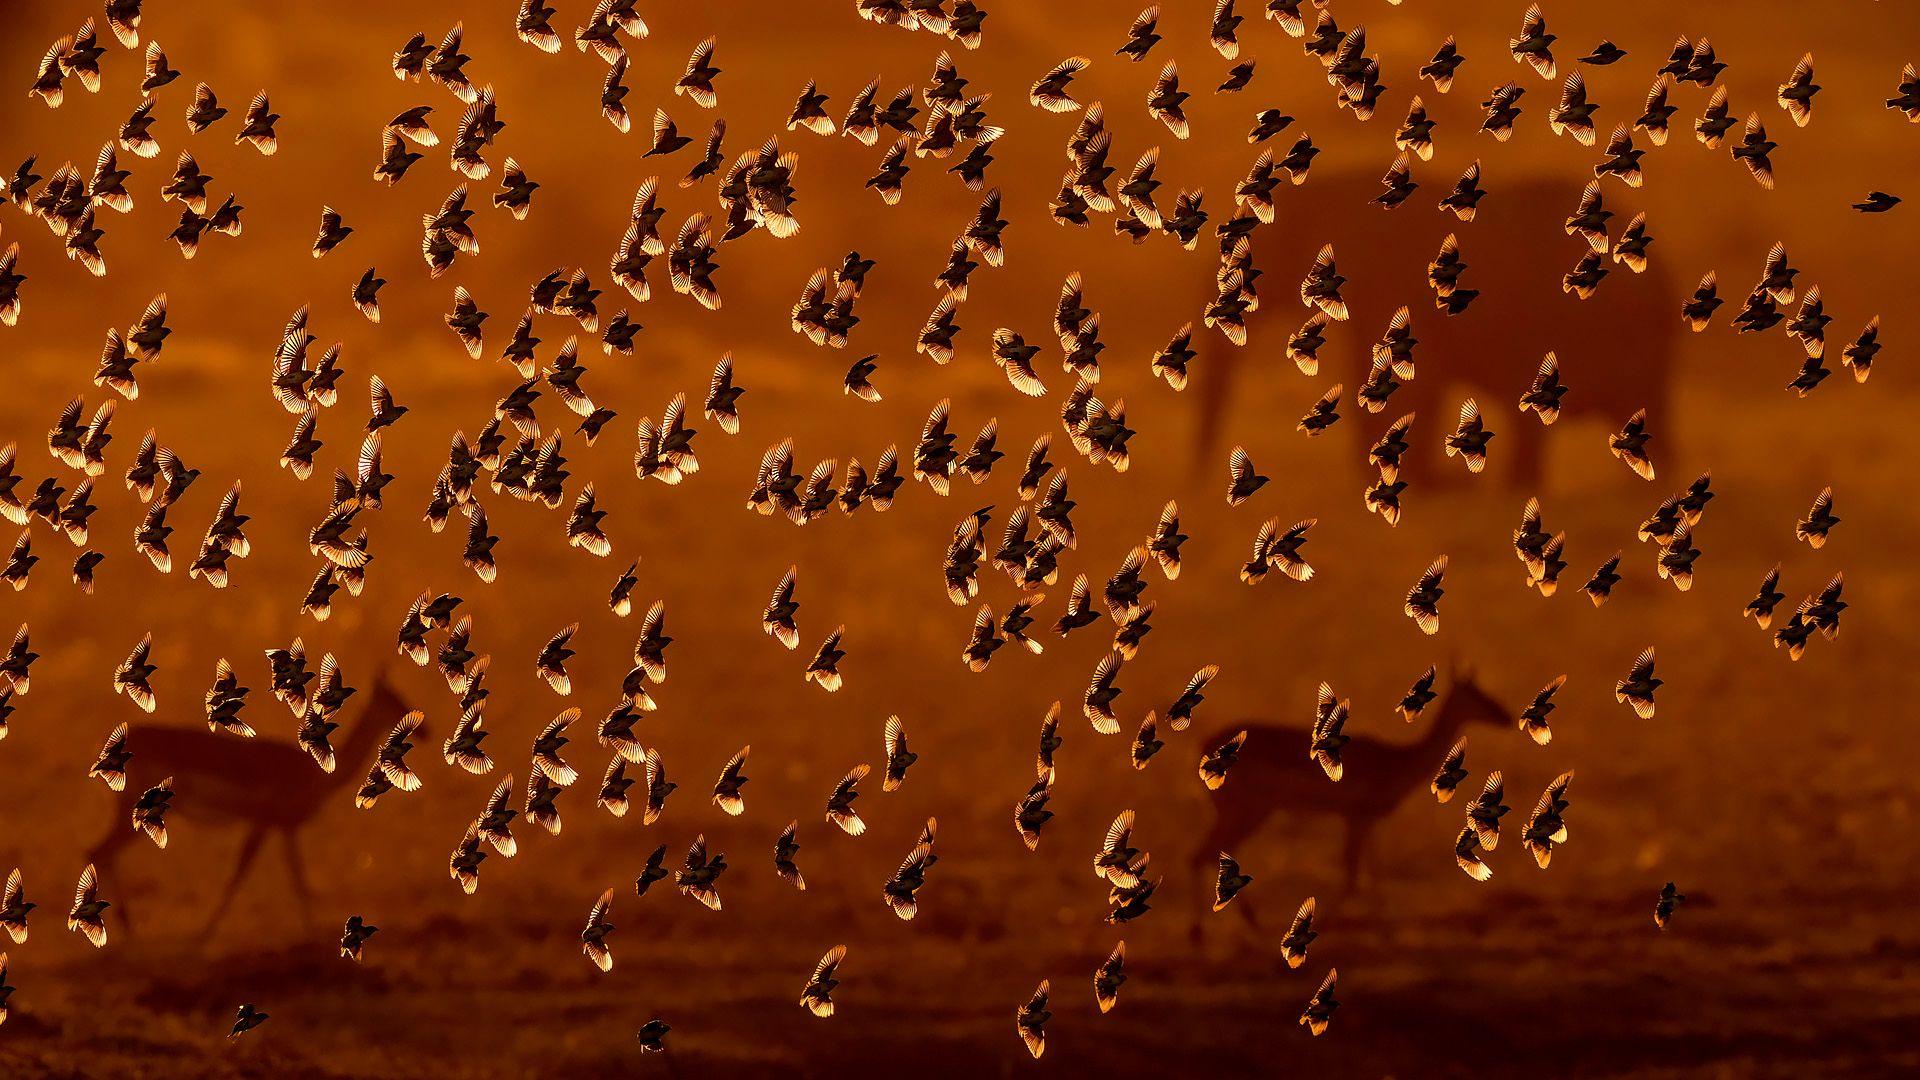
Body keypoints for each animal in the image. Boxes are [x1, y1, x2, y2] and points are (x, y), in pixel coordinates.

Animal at [83, 668, 413, 939]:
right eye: (395, 700)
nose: (421, 729)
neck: (315, 775)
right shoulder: (273, 824)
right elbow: (280, 878)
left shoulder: (272, 827)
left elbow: (276, 877)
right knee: (98, 851)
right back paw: (130, 937)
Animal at [1188, 670, 1511, 935]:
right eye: (1476, 694)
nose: (1506, 716)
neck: (1397, 761)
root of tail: (1204, 748)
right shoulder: (1356, 818)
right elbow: (1354, 877)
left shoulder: (1365, 822)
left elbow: (1372, 874)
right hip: (1250, 811)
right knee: (1203, 854)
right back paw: (1204, 932)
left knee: (1209, 854)